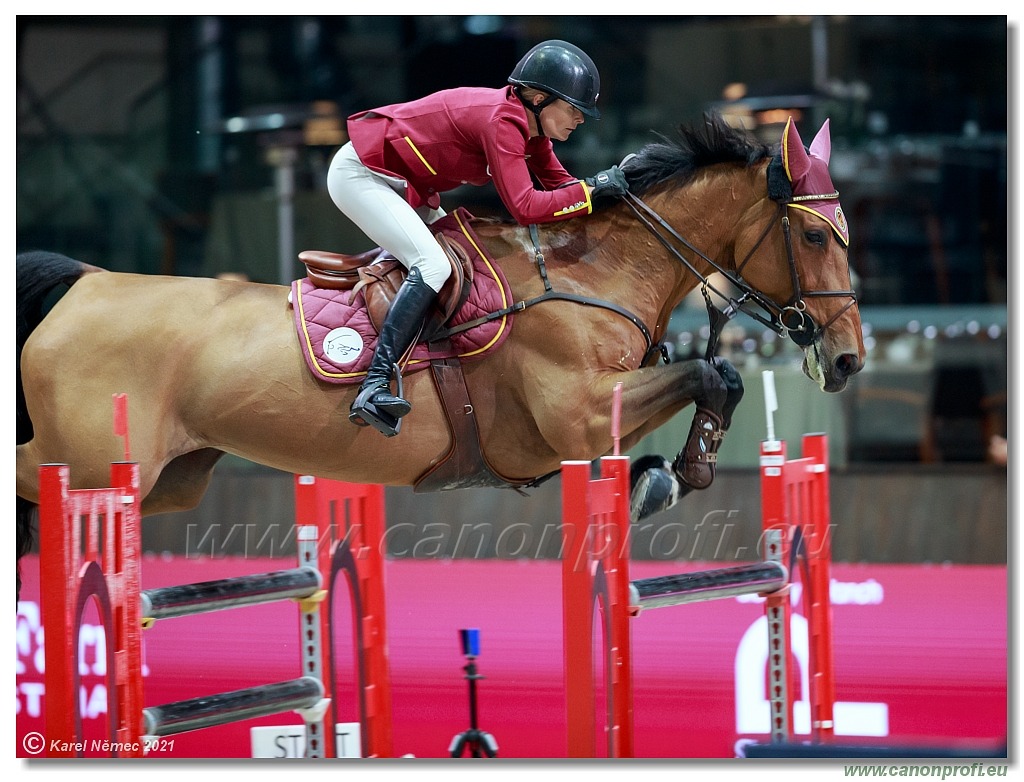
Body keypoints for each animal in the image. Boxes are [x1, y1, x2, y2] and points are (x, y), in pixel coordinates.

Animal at [16, 113, 864, 593]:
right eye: (813, 234)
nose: (850, 361)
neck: (594, 271)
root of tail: (87, 282)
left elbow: (717, 377)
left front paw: (670, 473)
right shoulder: (577, 418)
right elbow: (706, 371)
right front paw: (668, 476)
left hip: (168, 480)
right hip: (91, 466)